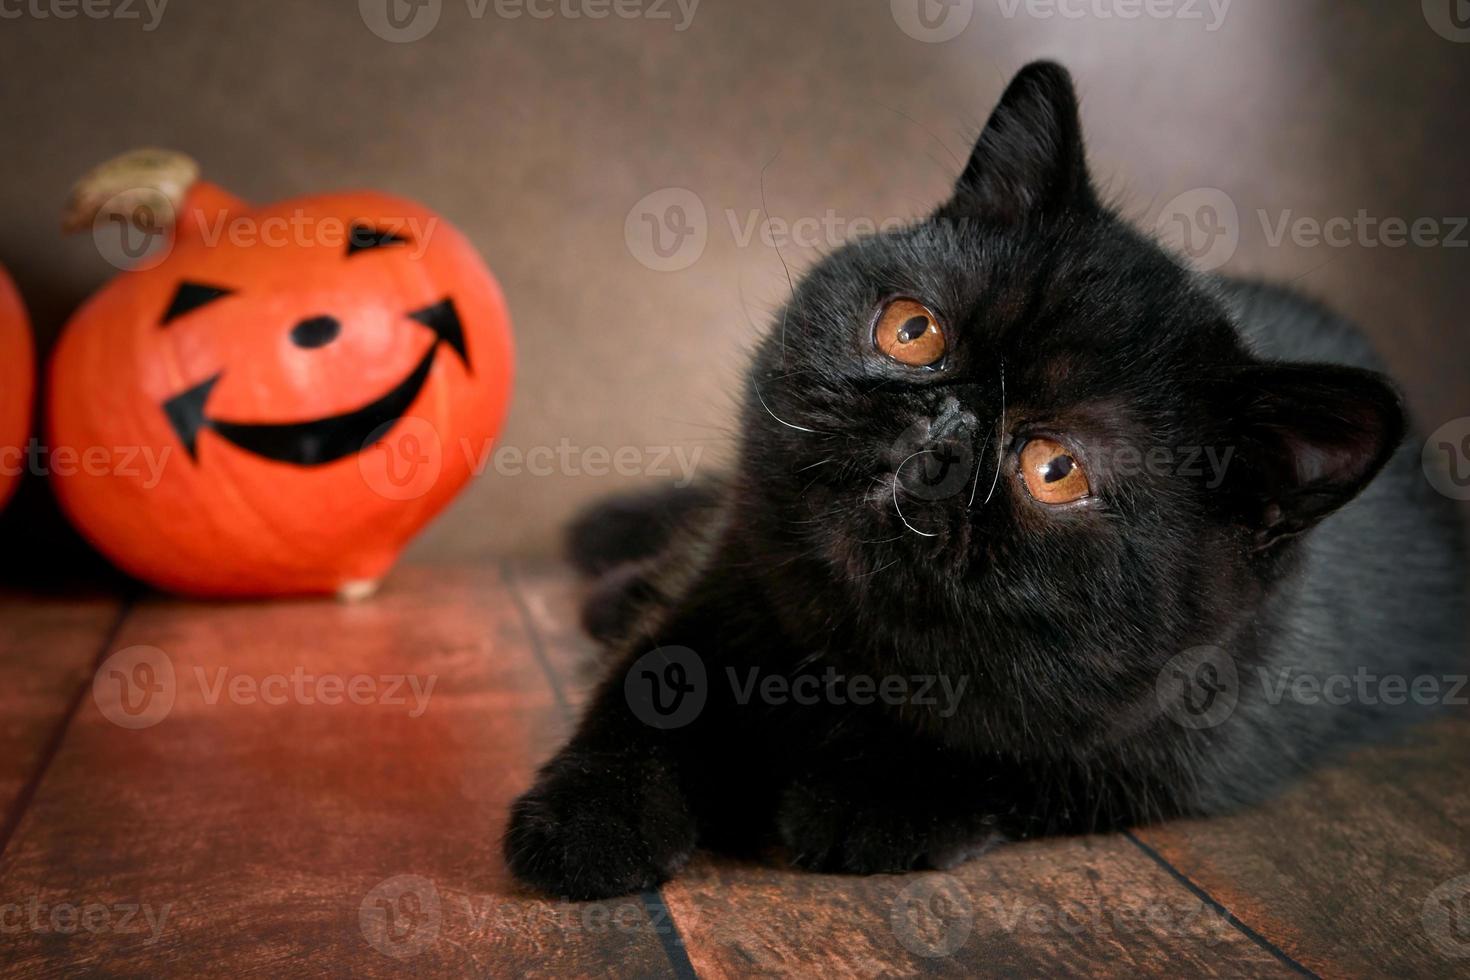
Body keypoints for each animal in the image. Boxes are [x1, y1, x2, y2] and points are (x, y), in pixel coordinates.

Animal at [502, 63, 1458, 905]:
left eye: (1055, 469)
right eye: (912, 331)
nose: (945, 429)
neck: (851, 661)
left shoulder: (1169, 740)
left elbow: (1014, 755)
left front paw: (874, 802)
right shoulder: (736, 580)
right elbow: (656, 683)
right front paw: (593, 820)